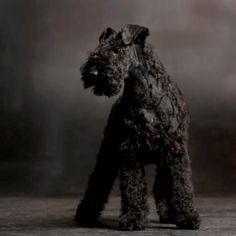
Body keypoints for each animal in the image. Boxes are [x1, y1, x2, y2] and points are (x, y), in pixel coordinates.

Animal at [74, 24, 200, 230]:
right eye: (99, 49)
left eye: (117, 50)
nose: (92, 73)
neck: (145, 96)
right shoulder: (130, 150)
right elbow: (133, 187)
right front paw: (133, 218)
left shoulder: (175, 150)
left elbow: (181, 185)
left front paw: (187, 216)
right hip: (108, 152)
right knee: (98, 180)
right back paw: (85, 214)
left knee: (161, 185)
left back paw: (169, 214)